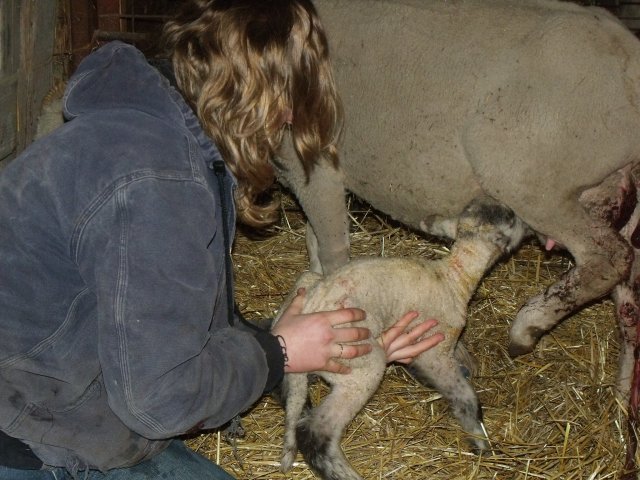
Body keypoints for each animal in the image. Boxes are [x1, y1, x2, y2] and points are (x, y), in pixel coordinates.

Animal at [272, 198, 528, 480]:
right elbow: (465, 397)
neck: (454, 277)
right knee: (315, 430)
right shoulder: (435, 349)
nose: (528, 225)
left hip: (302, 299)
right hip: (361, 364)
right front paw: (481, 443)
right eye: (511, 218)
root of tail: (310, 308)